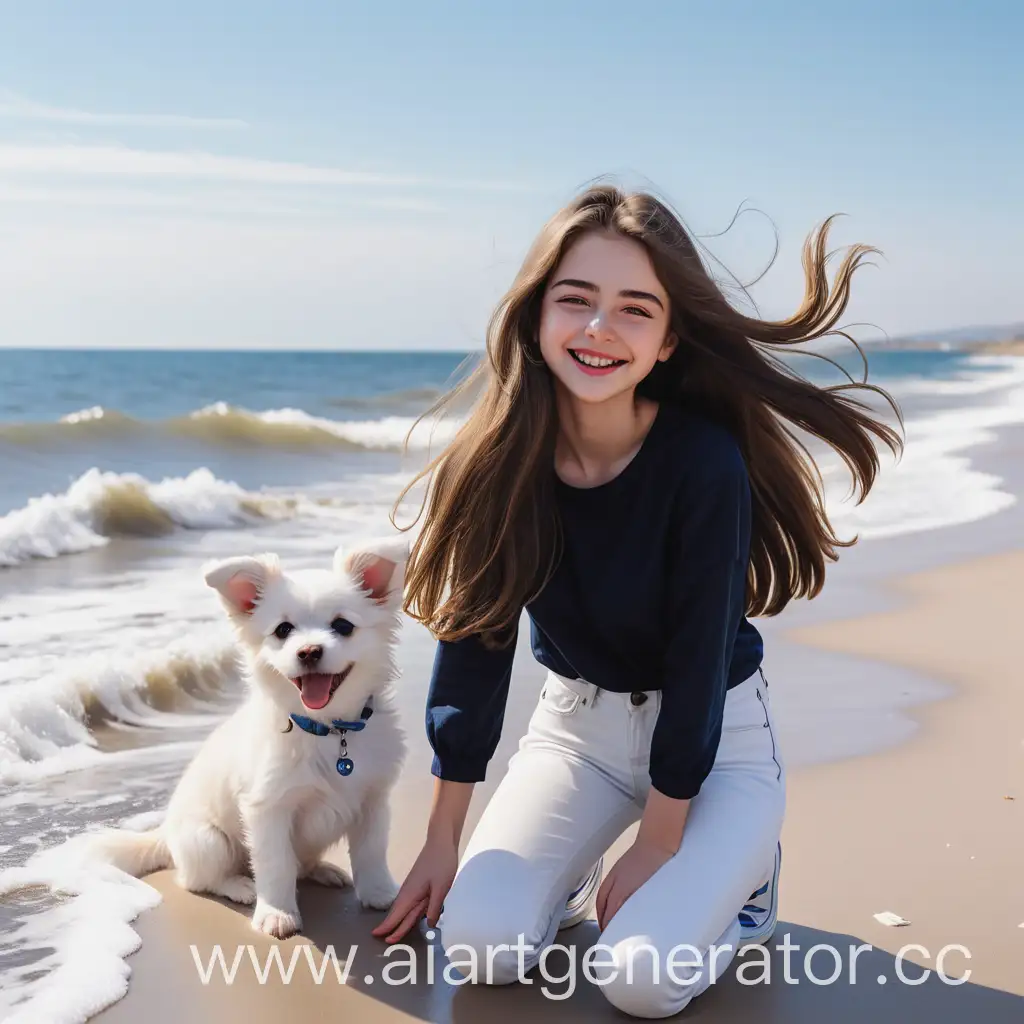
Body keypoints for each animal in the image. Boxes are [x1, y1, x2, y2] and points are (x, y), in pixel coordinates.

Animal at [78, 532, 407, 937]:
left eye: (343, 626)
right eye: (283, 630)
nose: (309, 651)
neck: (328, 730)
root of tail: (164, 835)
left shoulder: (372, 801)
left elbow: (372, 853)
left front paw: (381, 895)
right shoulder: (268, 809)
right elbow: (276, 864)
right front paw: (276, 913)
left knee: (301, 864)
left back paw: (322, 870)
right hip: (209, 841)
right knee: (196, 880)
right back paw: (240, 886)